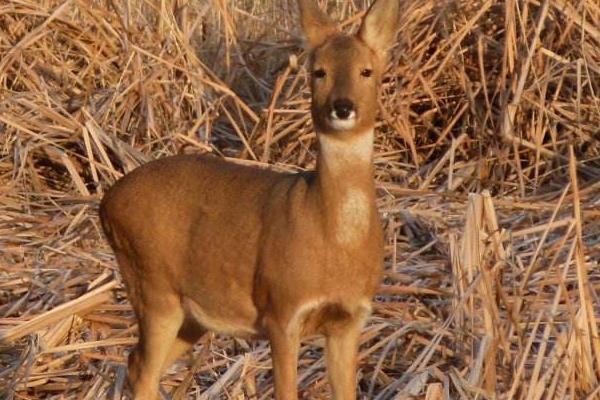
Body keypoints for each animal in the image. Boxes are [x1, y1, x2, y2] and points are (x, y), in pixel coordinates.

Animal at [101, 0, 400, 398]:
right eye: (318, 71)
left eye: (367, 71)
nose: (342, 106)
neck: (333, 241)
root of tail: (106, 203)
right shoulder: (282, 310)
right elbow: (286, 391)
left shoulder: (349, 319)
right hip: (152, 285)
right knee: (144, 372)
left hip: (191, 314)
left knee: (134, 362)